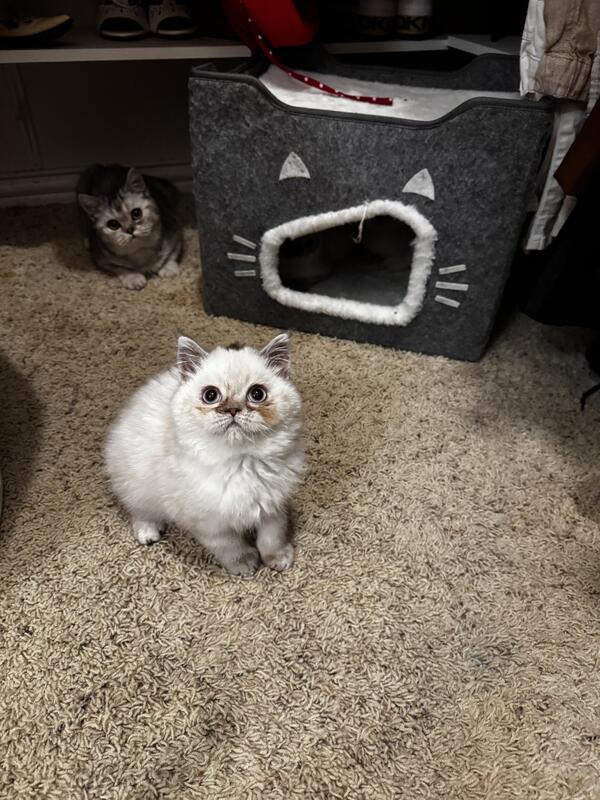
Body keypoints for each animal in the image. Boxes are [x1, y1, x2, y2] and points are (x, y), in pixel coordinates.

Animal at [104, 333, 304, 576]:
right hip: (138, 484)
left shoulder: (273, 505)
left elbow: (271, 538)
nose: (233, 409)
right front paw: (245, 565)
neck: (241, 462)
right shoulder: (209, 523)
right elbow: (230, 546)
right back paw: (148, 533)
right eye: (211, 395)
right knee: (139, 511)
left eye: (257, 394)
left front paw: (278, 559)